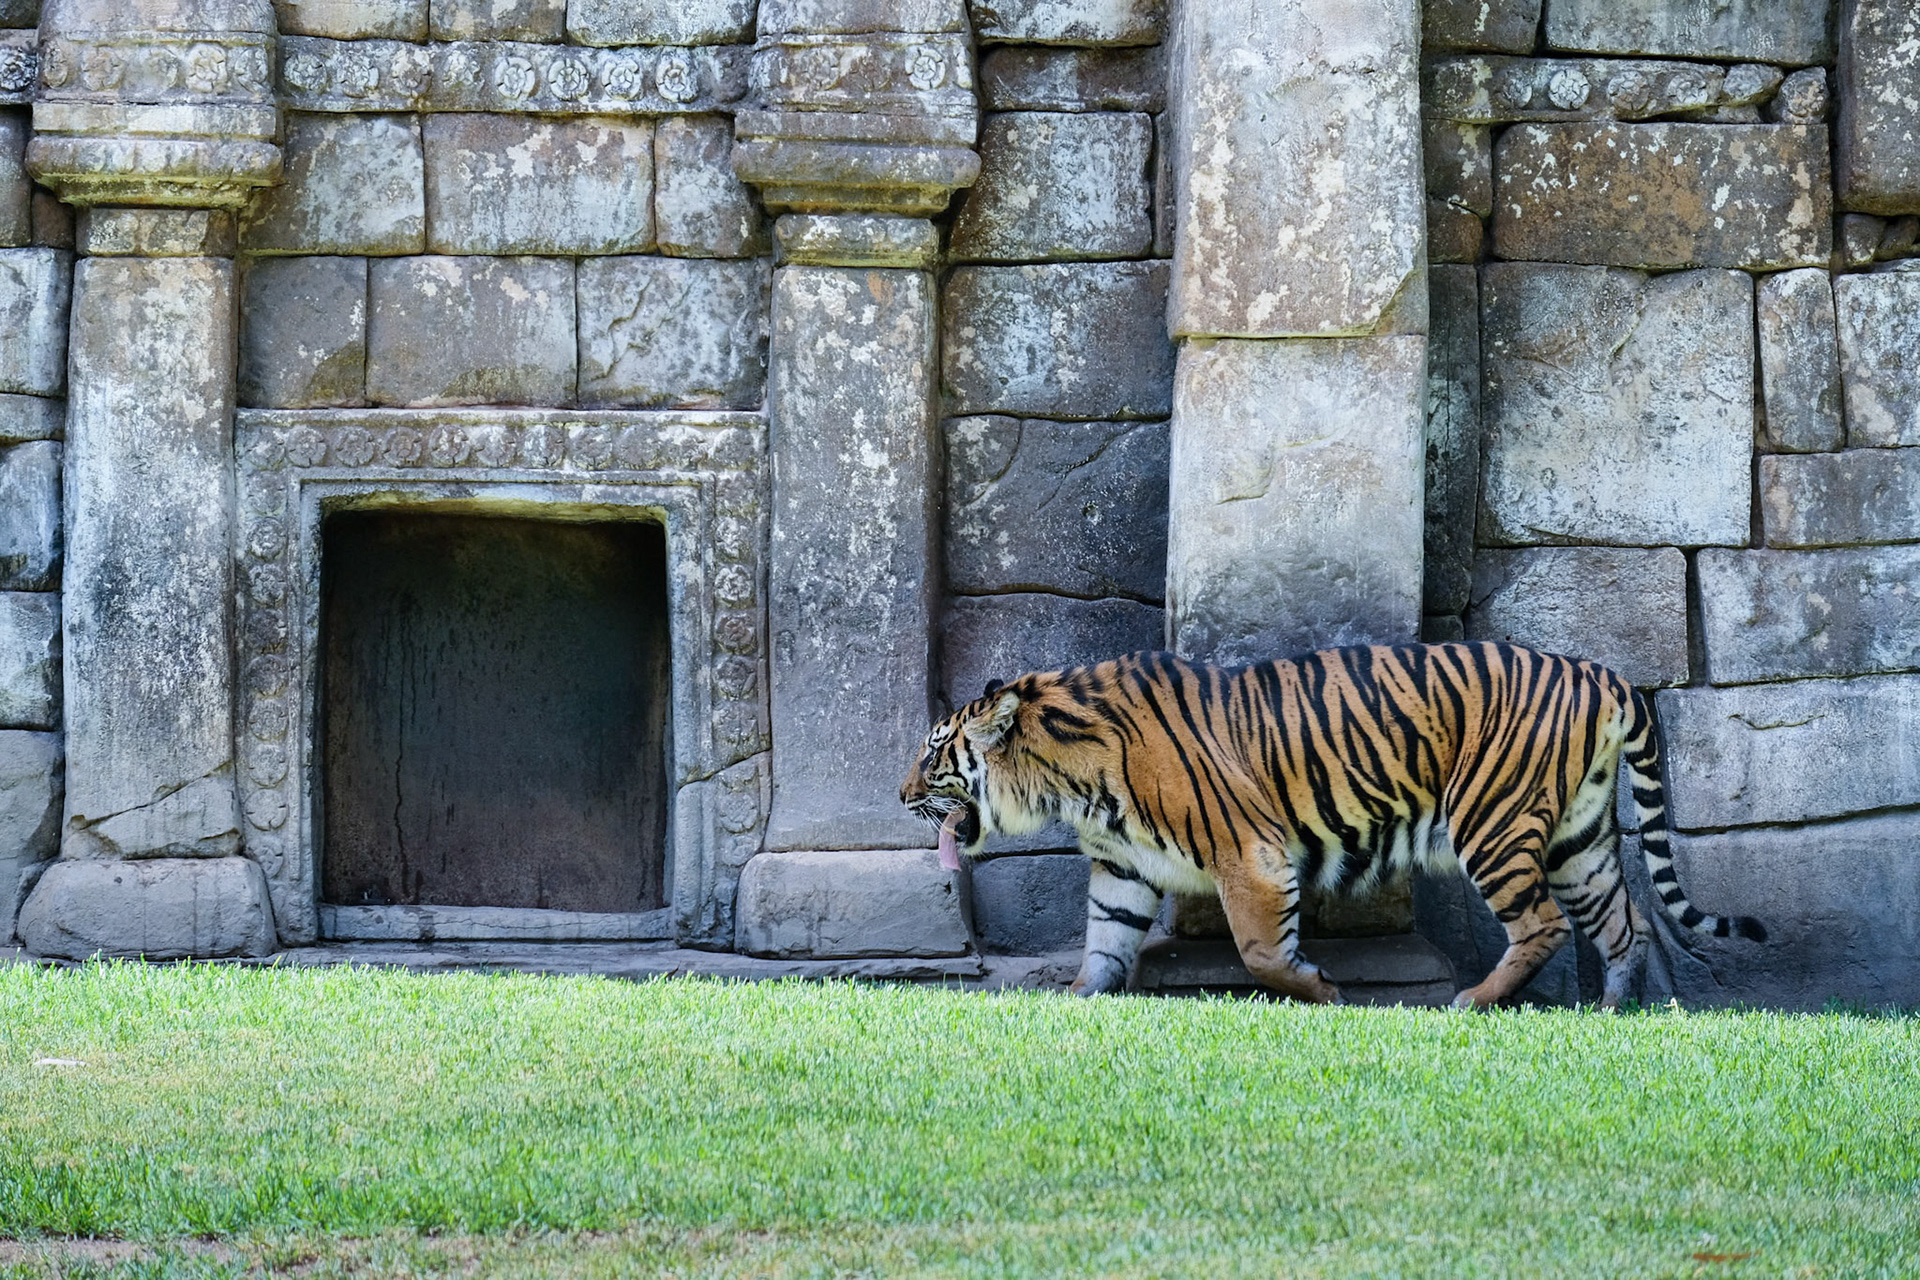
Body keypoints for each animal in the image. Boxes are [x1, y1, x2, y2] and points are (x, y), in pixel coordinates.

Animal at [900, 642, 1765, 1009]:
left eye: (935, 751)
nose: (902, 793)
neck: (1069, 781)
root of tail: (1602, 672)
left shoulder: (1250, 854)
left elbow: (1260, 952)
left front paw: (1323, 988)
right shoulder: (1124, 866)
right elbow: (1105, 939)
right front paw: (1076, 999)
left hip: (1491, 819)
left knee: (1545, 925)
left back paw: (1473, 1001)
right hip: (1578, 839)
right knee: (1626, 922)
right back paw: (1616, 1008)